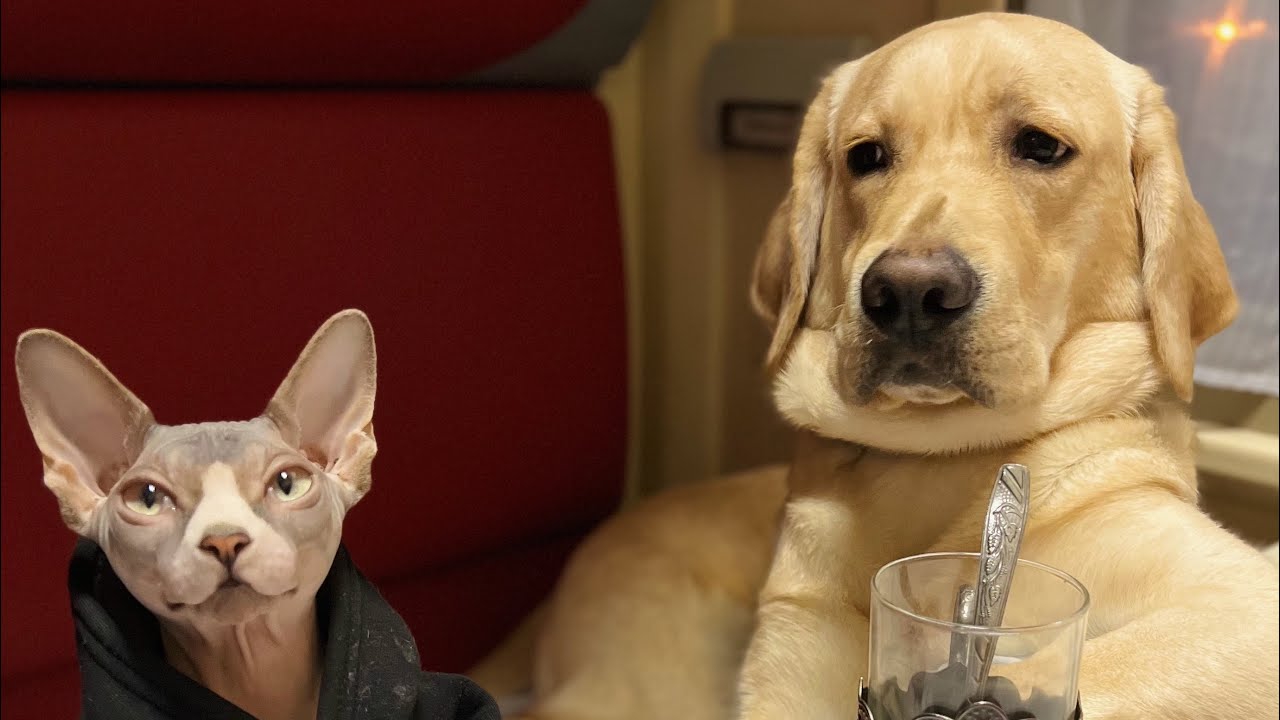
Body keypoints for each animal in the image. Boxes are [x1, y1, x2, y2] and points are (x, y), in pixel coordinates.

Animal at [470, 12, 1280, 720]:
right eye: (866, 156)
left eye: (1041, 146)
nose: (910, 294)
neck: (933, 464)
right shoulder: (790, 647)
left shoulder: (1240, 607)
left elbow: (1071, 664)